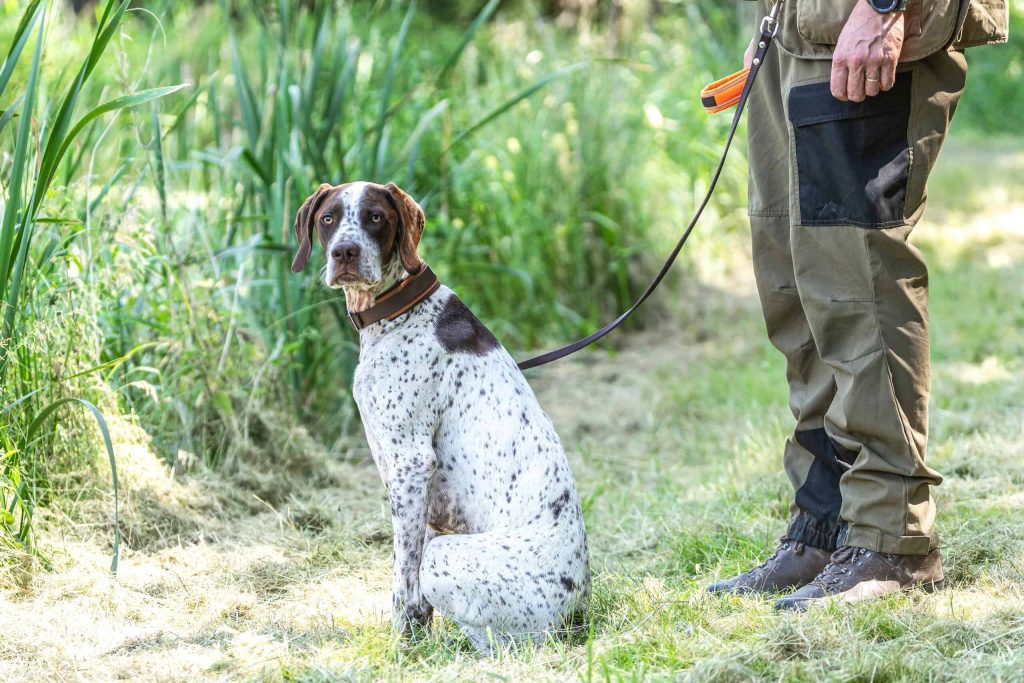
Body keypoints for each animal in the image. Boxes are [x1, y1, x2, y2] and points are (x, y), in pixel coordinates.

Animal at [288, 181, 593, 651]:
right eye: (328, 218)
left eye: (375, 217)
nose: (344, 252)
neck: (398, 311)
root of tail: (577, 608)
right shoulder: (426, 494)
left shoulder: (411, 464)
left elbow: (403, 577)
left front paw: (402, 644)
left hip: (448, 557)